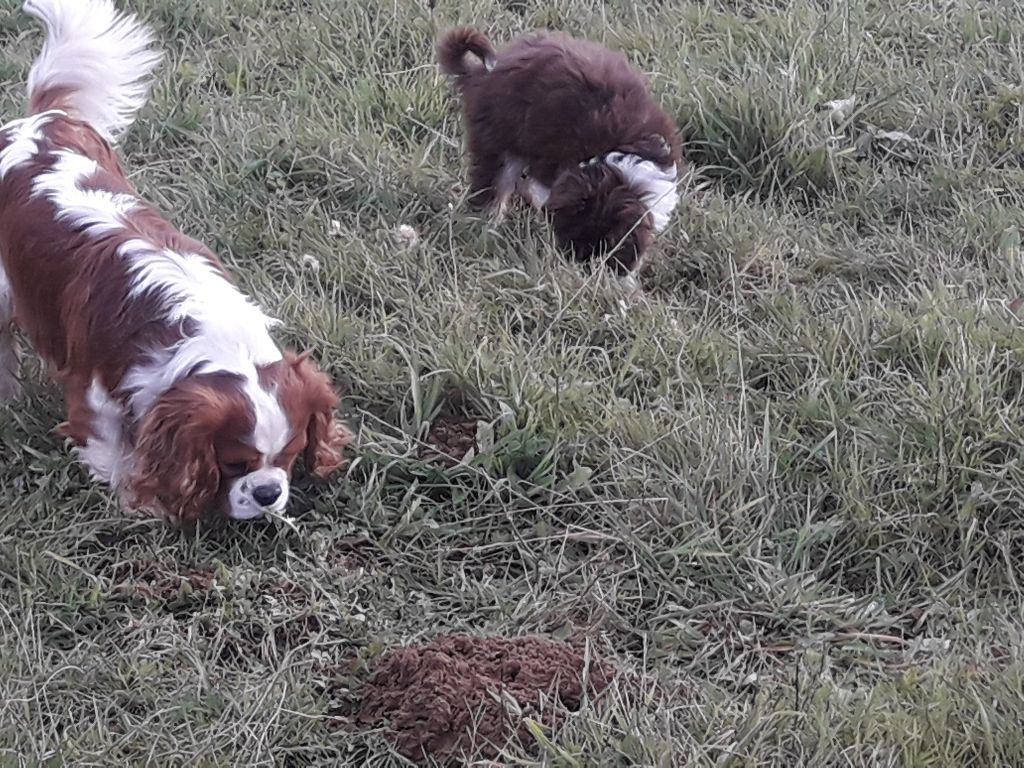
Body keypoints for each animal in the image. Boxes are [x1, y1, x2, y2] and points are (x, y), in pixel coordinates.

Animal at [0, 0, 352, 524]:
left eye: (290, 454)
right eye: (234, 462)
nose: (267, 492)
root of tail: (38, 121)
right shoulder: (95, 398)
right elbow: (114, 453)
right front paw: (139, 501)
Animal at [438, 26, 684, 288]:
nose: (579, 268)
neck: (619, 158)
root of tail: (482, 73)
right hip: (498, 142)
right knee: (492, 190)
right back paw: (486, 227)